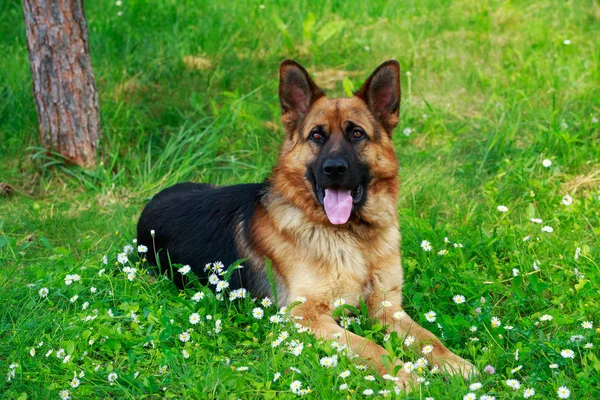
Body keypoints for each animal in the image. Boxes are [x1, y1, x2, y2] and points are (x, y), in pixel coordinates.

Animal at [138, 60, 476, 390]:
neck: (352, 237)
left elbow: (430, 340)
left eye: (357, 134)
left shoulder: (387, 307)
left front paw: (455, 364)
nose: (334, 169)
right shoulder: (305, 315)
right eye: (316, 135)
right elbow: (370, 346)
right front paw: (402, 375)